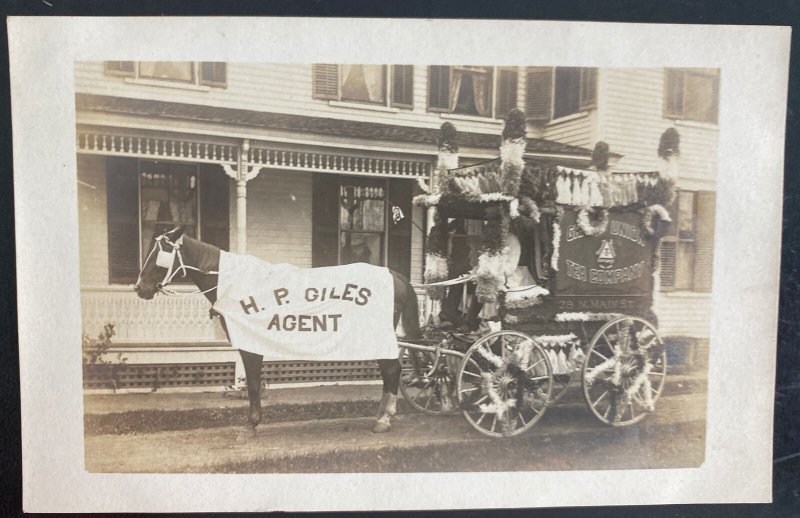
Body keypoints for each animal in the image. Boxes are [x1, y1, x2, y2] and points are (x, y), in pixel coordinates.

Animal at [133, 225, 424, 436]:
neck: (235, 284)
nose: (139, 288)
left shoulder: (251, 346)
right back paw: (381, 415)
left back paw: (384, 419)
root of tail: (394, 275)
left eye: (159, 254)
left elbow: (252, 384)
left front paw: (251, 425)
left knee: (392, 370)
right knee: (390, 372)